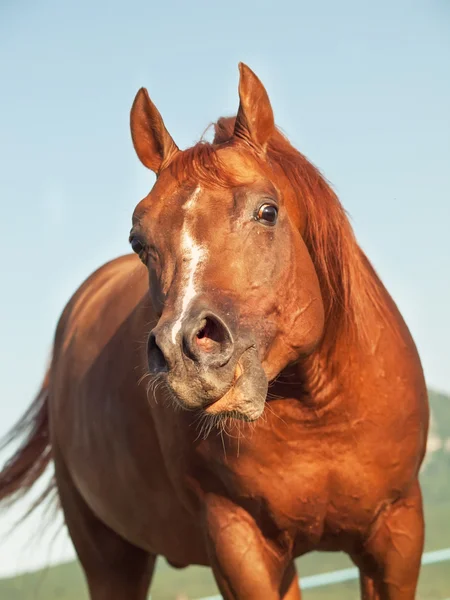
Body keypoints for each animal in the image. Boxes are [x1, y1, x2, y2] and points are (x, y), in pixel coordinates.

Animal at [0, 63, 428, 596]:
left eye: (267, 211)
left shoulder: (396, 533)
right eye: (139, 241)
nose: (185, 353)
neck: (319, 416)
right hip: (108, 557)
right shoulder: (238, 543)